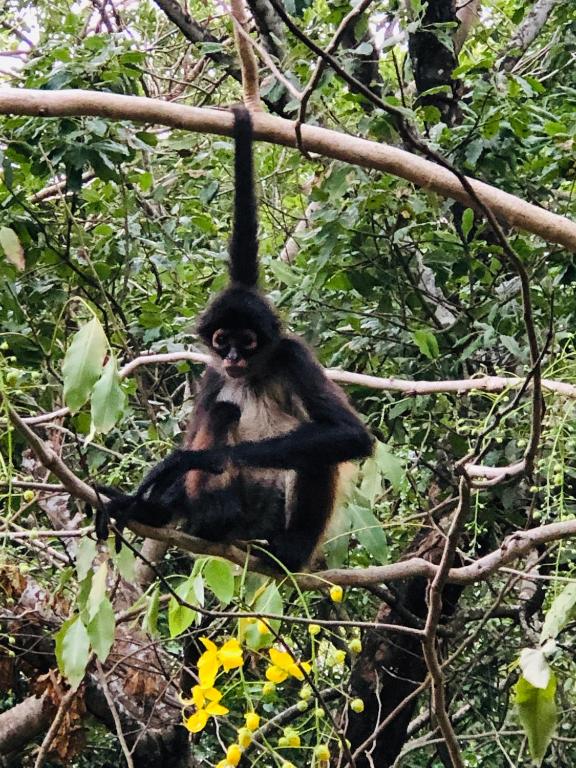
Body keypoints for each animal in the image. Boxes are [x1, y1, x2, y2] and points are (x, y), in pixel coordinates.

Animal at [95, 106, 374, 568]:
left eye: (247, 342)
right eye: (223, 340)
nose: (232, 359)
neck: (253, 374)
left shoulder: (292, 354)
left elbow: (350, 435)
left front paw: (198, 458)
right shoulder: (212, 375)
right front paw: (142, 505)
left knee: (317, 451)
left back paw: (289, 550)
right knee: (222, 414)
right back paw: (204, 520)